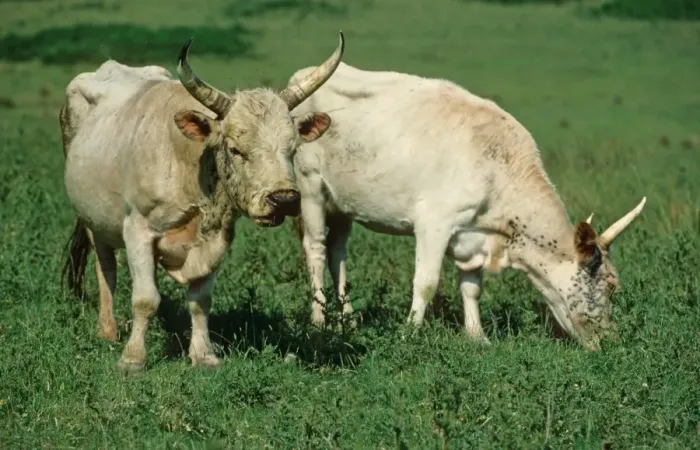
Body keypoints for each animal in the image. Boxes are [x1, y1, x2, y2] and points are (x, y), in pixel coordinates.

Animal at [60, 33, 345, 372]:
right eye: (235, 149)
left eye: (293, 149)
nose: (284, 199)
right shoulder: (138, 231)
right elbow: (145, 299)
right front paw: (133, 359)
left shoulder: (217, 239)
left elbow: (200, 301)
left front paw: (203, 354)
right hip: (95, 220)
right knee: (106, 267)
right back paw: (107, 329)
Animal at [287, 62, 646, 351]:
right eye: (611, 284)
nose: (611, 340)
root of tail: (303, 75)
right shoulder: (435, 222)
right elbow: (426, 282)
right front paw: (410, 333)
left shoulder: (472, 234)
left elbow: (472, 287)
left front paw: (477, 336)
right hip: (310, 187)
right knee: (316, 249)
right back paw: (319, 320)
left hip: (342, 203)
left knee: (338, 252)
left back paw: (347, 318)